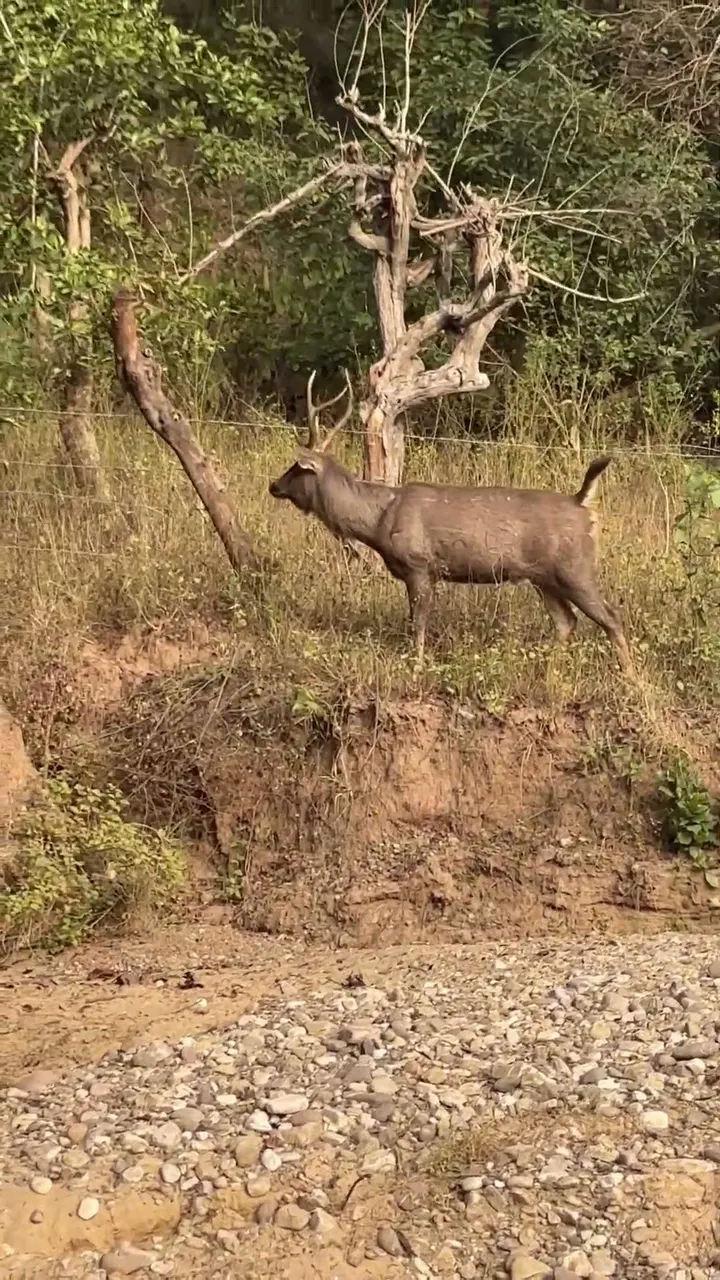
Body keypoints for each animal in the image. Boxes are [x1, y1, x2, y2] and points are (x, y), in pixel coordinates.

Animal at [268, 370, 632, 671]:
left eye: (295, 468)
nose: (273, 485)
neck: (377, 520)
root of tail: (582, 503)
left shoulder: (419, 565)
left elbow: (419, 624)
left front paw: (416, 666)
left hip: (575, 566)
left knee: (611, 618)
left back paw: (629, 678)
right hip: (543, 577)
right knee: (567, 622)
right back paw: (548, 670)